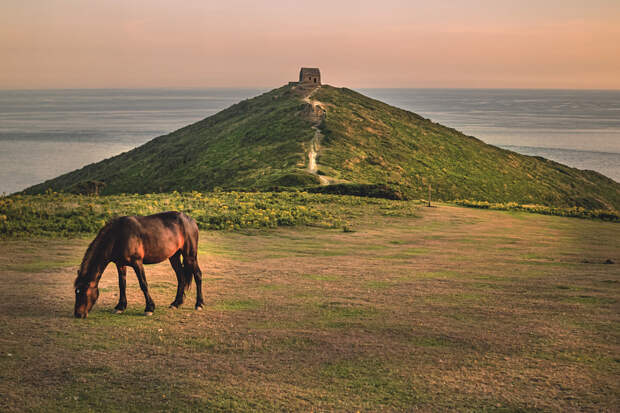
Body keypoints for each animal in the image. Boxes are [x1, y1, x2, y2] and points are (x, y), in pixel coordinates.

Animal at [73, 211, 203, 318]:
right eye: (76, 292)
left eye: (84, 292)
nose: (78, 314)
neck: (118, 235)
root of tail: (191, 220)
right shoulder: (120, 264)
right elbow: (122, 284)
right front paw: (120, 307)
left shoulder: (137, 263)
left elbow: (143, 284)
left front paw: (149, 308)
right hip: (174, 256)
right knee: (181, 277)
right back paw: (176, 303)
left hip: (190, 256)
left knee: (198, 275)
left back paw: (199, 304)